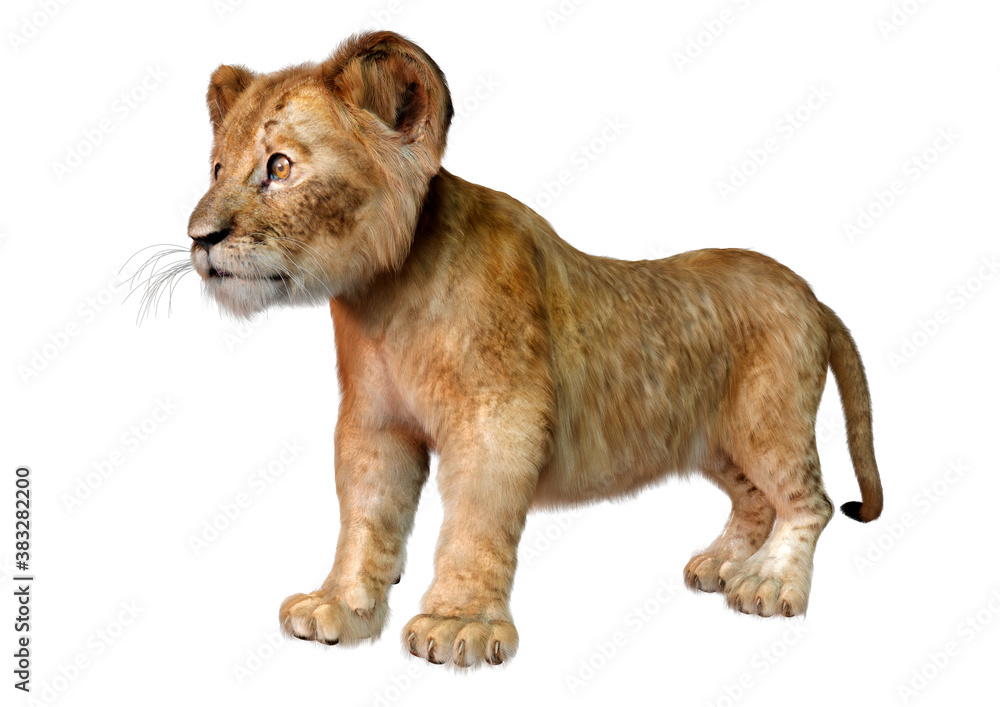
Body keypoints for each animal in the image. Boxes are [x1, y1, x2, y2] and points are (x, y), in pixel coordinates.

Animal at [185, 30, 883, 668]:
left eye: (279, 167)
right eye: (216, 168)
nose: (198, 236)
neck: (384, 300)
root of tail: (812, 295)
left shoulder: (499, 418)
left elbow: (474, 521)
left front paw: (457, 626)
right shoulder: (375, 422)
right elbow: (366, 514)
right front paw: (339, 606)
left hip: (769, 420)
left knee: (808, 501)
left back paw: (768, 583)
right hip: (716, 437)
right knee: (756, 499)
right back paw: (722, 565)